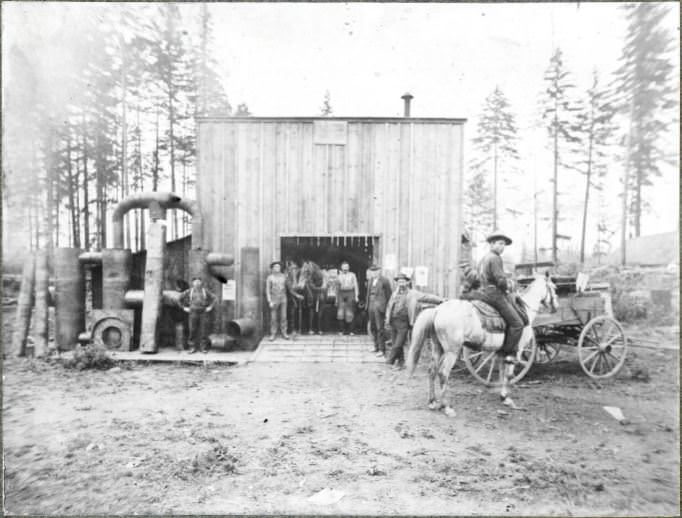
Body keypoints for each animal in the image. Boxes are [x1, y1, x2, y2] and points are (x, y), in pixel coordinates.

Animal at [404, 274, 556, 416]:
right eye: (554, 288)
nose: (556, 307)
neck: (524, 310)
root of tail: (438, 310)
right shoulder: (516, 350)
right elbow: (508, 375)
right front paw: (507, 398)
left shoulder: (502, 352)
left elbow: (502, 373)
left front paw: (502, 396)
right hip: (452, 352)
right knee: (443, 373)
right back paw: (446, 407)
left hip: (438, 348)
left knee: (432, 371)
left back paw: (432, 402)